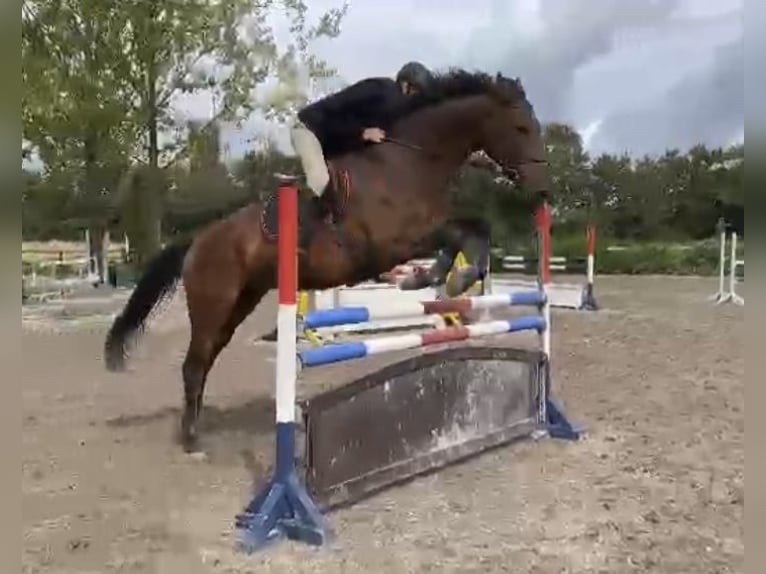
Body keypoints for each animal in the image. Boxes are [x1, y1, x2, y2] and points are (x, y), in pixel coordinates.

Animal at [105, 70, 556, 454]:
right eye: (521, 128)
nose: (543, 190)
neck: (411, 162)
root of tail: (199, 239)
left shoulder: (426, 230)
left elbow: (474, 230)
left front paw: (442, 279)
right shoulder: (395, 241)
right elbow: (459, 235)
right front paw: (443, 279)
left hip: (239, 303)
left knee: (206, 360)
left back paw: (197, 423)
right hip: (212, 303)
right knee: (193, 362)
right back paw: (191, 439)